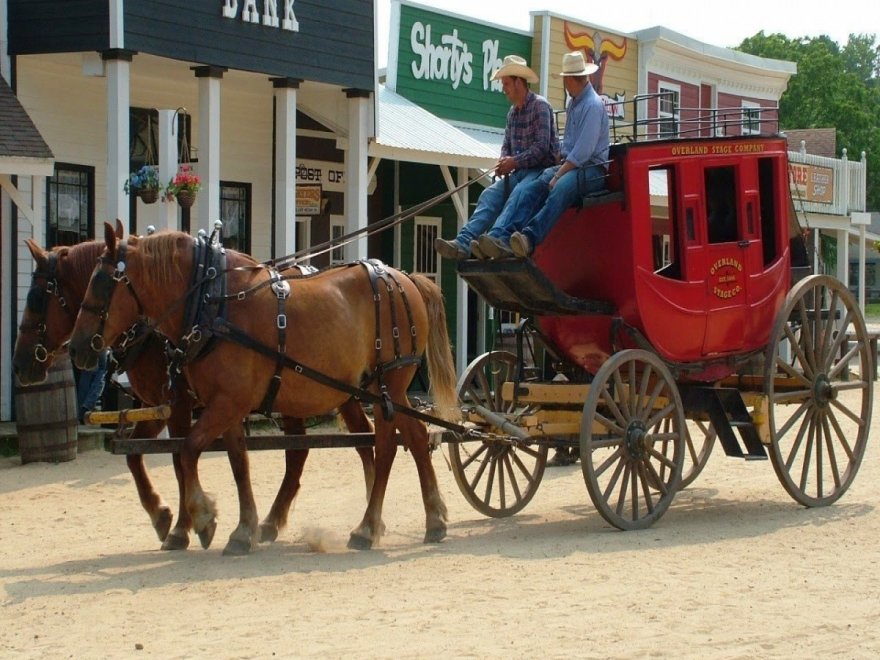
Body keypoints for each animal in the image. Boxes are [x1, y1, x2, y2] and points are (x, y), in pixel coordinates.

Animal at [12, 226, 374, 552]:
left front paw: (185, 525)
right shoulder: (161, 405)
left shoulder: (182, 403)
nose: (18, 365)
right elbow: (138, 456)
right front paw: (163, 516)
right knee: (326, 445)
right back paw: (277, 522)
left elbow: (178, 459)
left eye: (35, 299)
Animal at [69, 223, 460, 552]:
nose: (76, 348)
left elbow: (188, 450)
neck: (214, 303)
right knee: (414, 438)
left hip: (385, 386)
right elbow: (237, 462)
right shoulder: (224, 404)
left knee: (388, 446)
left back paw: (368, 527)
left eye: (102, 282)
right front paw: (243, 529)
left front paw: (203, 518)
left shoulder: (225, 401)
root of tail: (407, 278)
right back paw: (431, 519)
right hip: (383, 391)